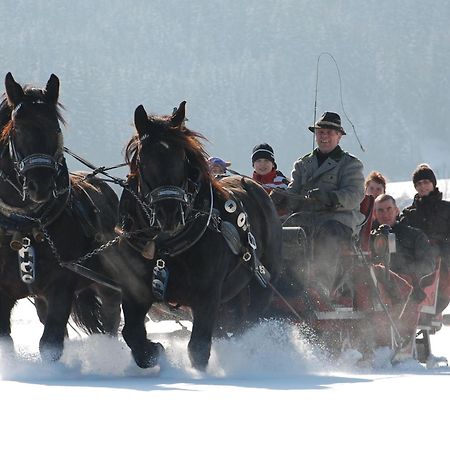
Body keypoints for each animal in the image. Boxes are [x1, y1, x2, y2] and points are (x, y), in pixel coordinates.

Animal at [0, 74, 121, 362]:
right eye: (17, 128)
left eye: (55, 127)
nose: (40, 184)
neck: (25, 225)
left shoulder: (61, 285)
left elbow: (51, 341)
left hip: (107, 284)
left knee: (111, 317)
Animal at [112, 103, 280, 370]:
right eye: (143, 160)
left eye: (182, 157)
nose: (169, 213)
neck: (167, 248)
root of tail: (258, 188)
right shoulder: (134, 290)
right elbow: (132, 334)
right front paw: (155, 350)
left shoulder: (207, 295)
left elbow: (198, 348)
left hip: (263, 283)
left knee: (251, 321)